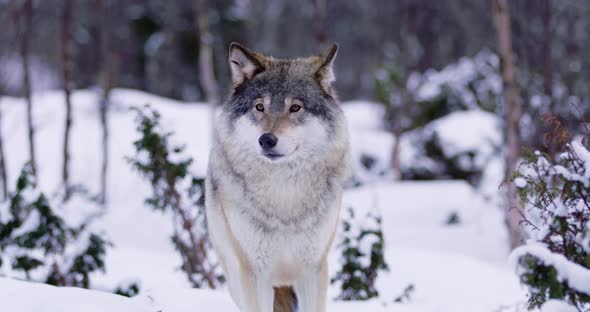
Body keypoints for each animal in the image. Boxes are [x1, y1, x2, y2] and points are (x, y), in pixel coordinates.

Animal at [206, 42, 352, 312]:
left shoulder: (314, 271)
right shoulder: (253, 274)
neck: (284, 196)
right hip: (235, 277)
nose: (266, 140)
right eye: (259, 107)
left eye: (295, 107)